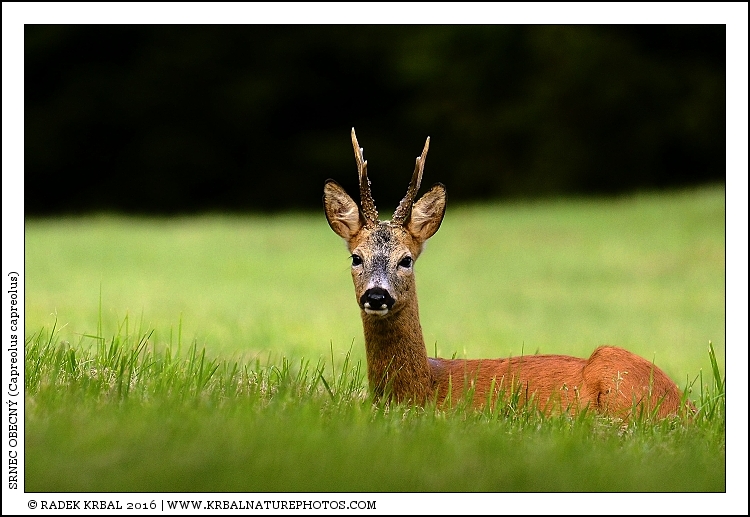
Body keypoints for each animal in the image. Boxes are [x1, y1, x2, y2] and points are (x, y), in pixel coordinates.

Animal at [323, 128, 692, 419]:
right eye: (356, 257)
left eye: (406, 260)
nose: (377, 295)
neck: (425, 387)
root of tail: (684, 407)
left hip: (613, 365)